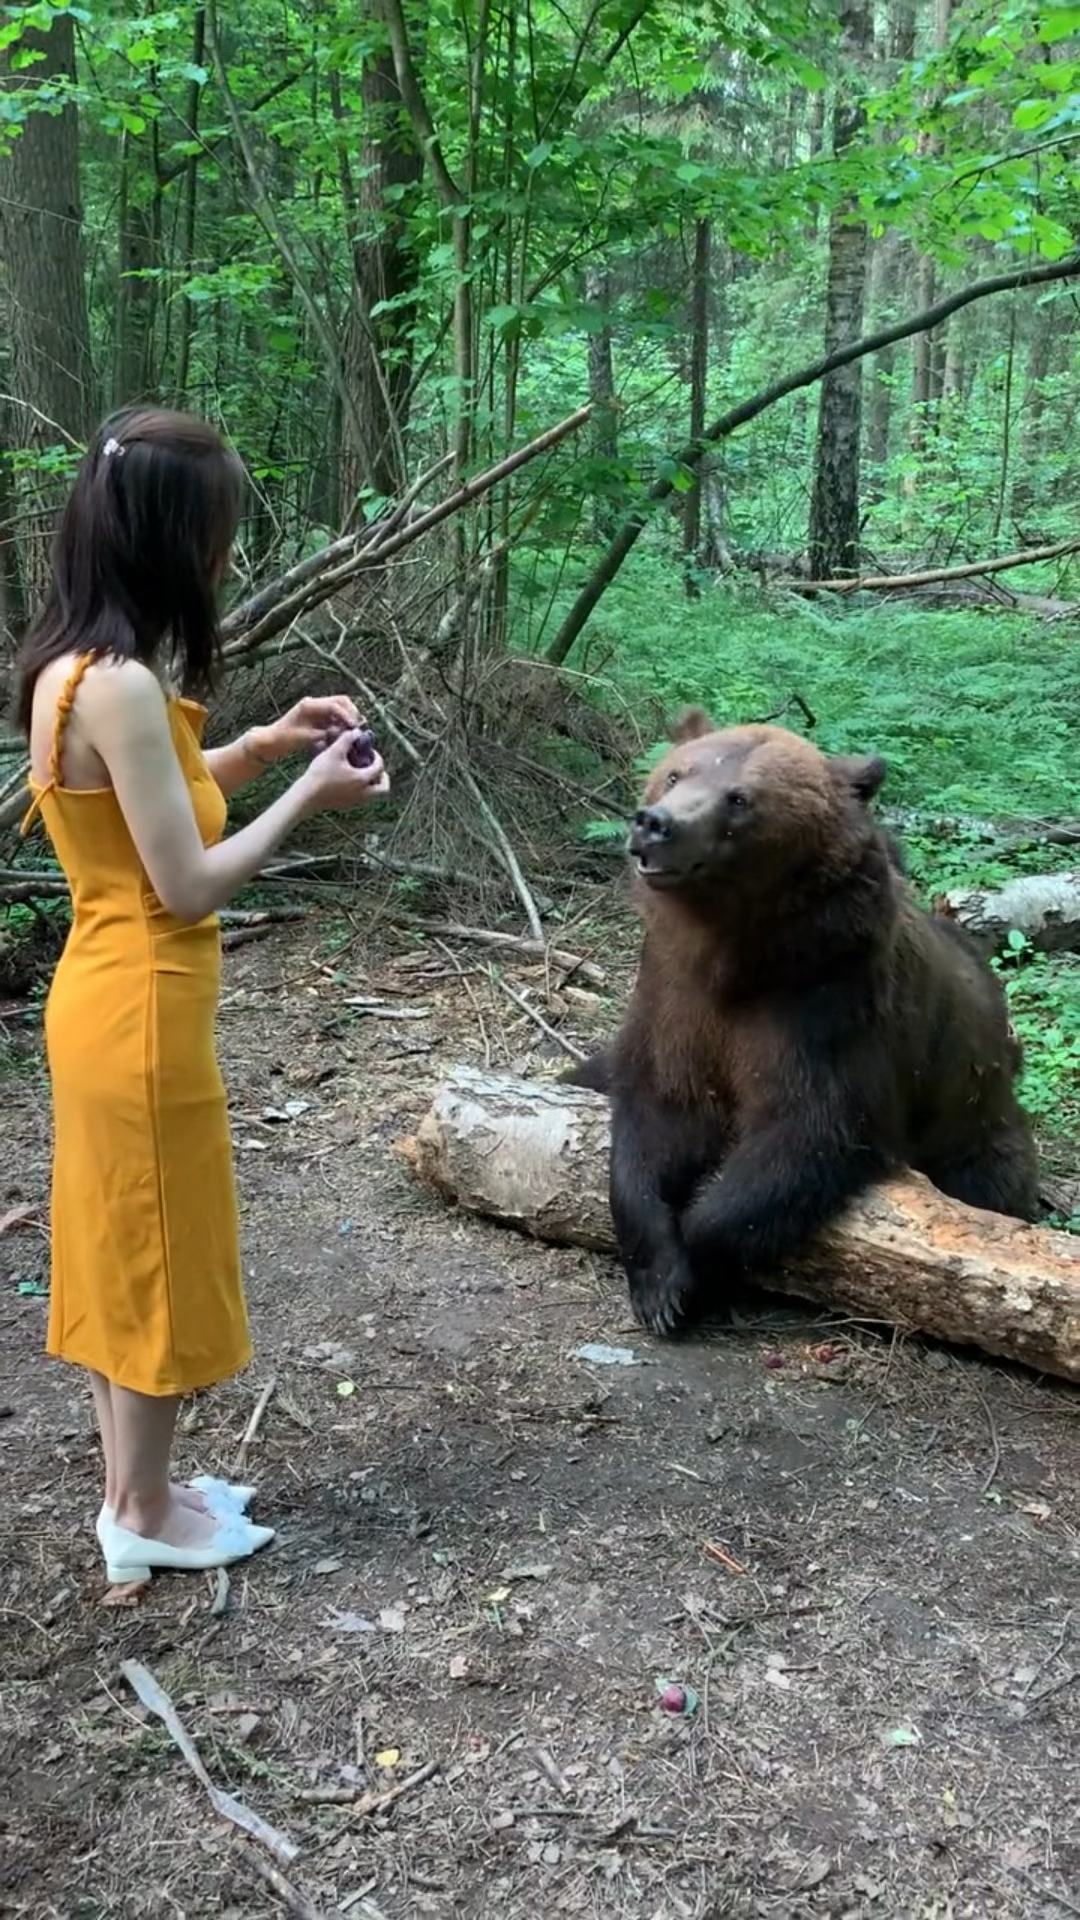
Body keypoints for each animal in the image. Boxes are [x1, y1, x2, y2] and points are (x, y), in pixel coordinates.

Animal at [568, 710, 1037, 1336]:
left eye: (739, 797)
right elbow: (655, 1115)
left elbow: (809, 1134)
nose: (656, 824)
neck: (736, 955)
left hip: (974, 1124)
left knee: (990, 1178)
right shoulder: (673, 997)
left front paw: (697, 1264)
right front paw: (657, 1283)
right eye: (675, 773)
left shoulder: (823, 1008)